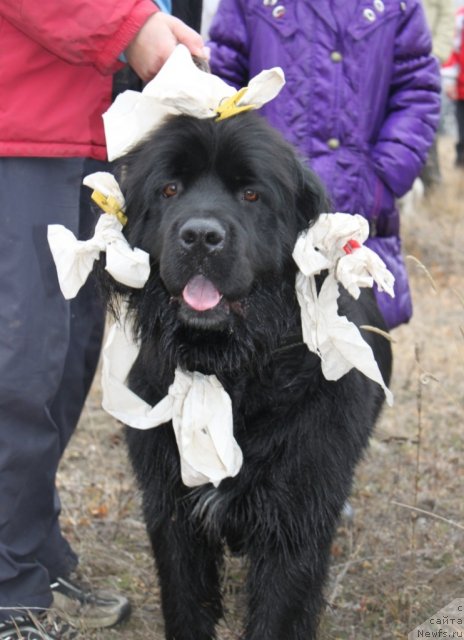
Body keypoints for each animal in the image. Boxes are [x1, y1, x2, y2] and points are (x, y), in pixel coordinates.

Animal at [104, 112, 392, 636]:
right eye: (170, 189)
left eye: (252, 195)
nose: (200, 236)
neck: (230, 373)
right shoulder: (170, 508)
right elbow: (185, 602)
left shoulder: (297, 516)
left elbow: (279, 612)